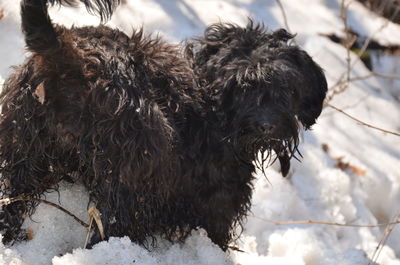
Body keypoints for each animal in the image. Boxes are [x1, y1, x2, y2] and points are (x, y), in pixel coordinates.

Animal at [0, 0, 326, 250]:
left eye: (289, 90)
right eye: (243, 84)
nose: (265, 125)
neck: (212, 106)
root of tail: (68, 56)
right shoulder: (218, 208)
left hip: (25, 148)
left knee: (12, 201)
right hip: (134, 172)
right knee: (112, 227)